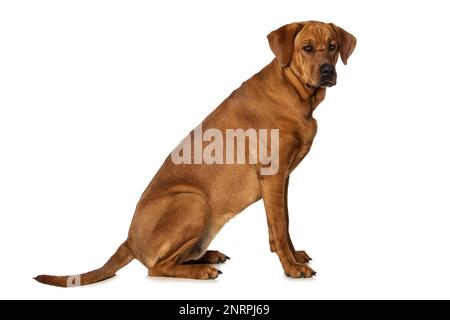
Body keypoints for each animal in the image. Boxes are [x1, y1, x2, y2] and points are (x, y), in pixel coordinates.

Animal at [35, 20, 356, 284]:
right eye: (306, 48)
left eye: (332, 46)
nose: (327, 71)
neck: (296, 93)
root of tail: (129, 242)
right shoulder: (273, 177)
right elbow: (279, 227)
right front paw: (291, 268)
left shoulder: (283, 179)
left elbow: (284, 224)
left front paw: (293, 255)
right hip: (194, 202)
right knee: (156, 268)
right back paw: (202, 270)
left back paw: (207, 256)